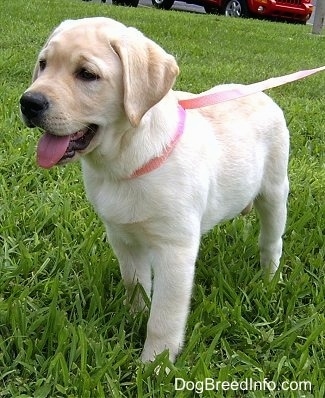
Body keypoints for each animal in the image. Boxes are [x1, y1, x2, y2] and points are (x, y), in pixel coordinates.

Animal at [20, 17, 288, 362]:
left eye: (87, 74)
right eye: (43, 64)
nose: (28, 102)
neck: (123, 162)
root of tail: (262, 95)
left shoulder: (174, 251)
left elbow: (164, 317)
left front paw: (154, 365)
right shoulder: (122, 238)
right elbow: (135, 283)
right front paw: (133, 317)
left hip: (275, 192)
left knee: (271, 243)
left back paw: (269, 280)